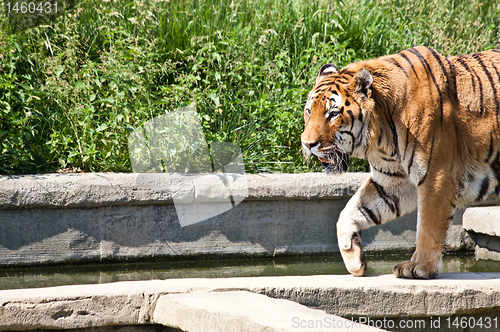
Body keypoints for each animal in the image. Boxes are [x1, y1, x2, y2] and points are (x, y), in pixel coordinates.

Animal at [300, 46, 500, 278]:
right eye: (309, 111)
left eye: (332, 114)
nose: (307, 144)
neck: (381, 137)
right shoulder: (394, 181)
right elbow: (350, 211)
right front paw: (354, 259)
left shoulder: (437, 176)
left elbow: (428, 226)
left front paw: (420, 266)